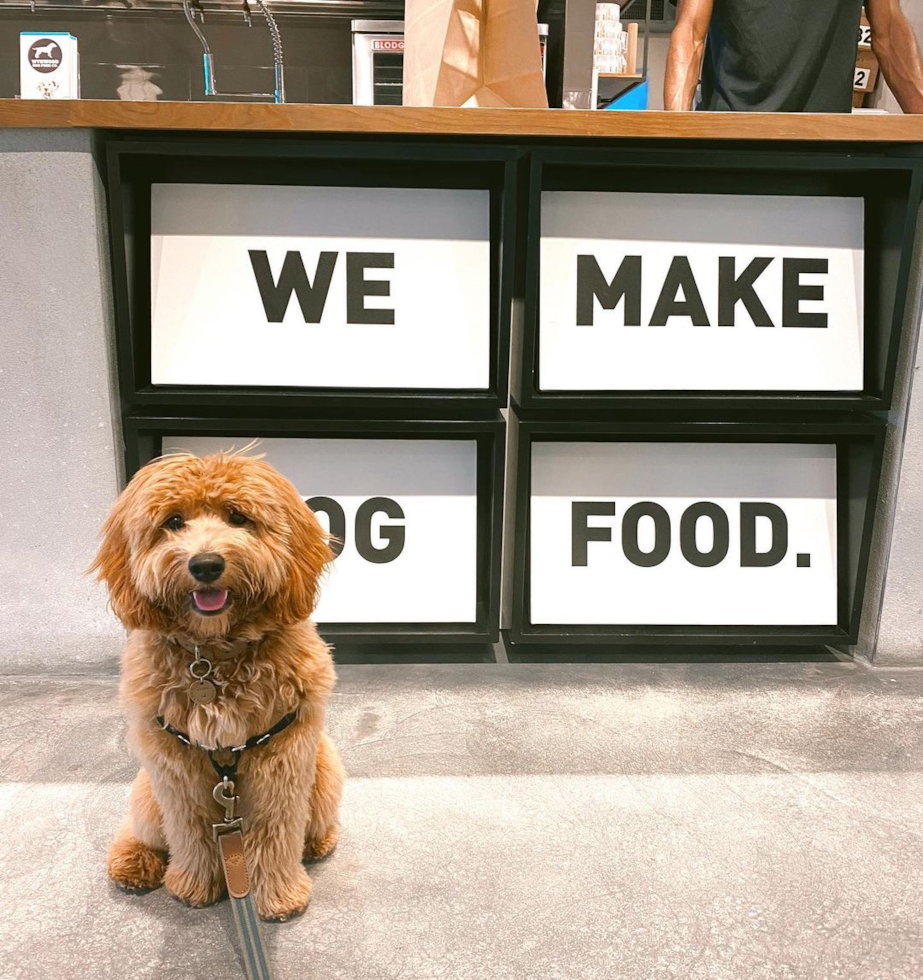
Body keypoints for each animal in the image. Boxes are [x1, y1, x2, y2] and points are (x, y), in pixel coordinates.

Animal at [92, 450, 344, 920]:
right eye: (173, 521)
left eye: (237, 517)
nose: (205, 564)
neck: (214, 656)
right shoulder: (174, 765)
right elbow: (189, 830)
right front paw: (194, 884)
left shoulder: (282, 759)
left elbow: (277, 829)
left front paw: (279, 894)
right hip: (147, 790)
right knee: (144, 828)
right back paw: (133, 860)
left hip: (324, 773)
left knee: (312, 822)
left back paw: (318, 842)